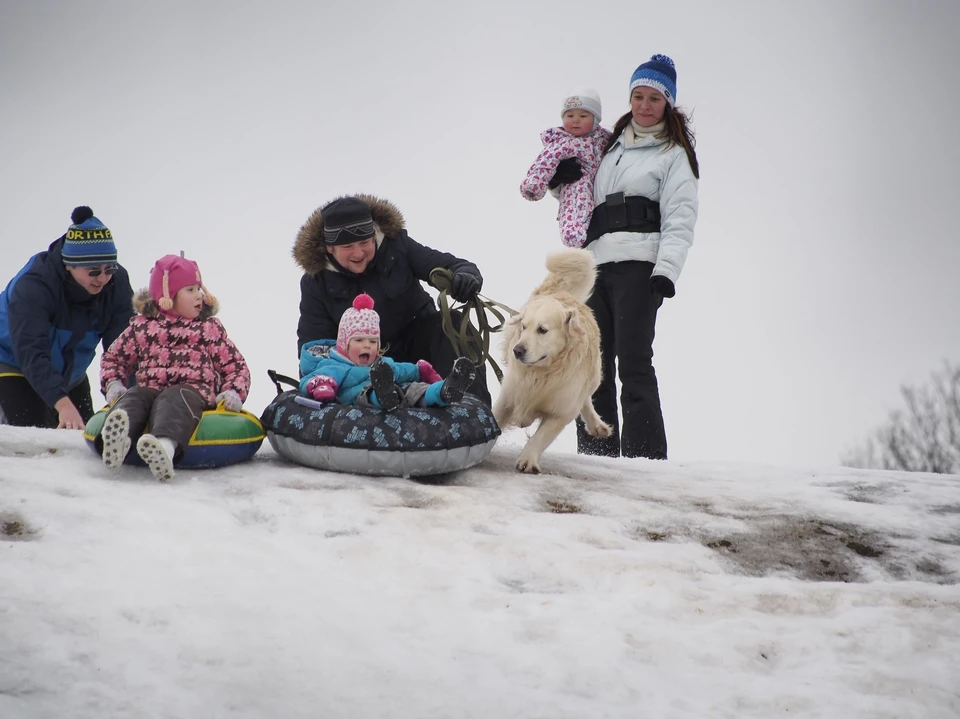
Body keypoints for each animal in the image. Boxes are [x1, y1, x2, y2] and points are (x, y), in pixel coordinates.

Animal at [498, 248, 612, 472]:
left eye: (542, 330)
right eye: (523, 326)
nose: (518, 351)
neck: (541, 373)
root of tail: (562, 293)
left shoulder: (561, 410)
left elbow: (540, 437)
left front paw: (527, 460)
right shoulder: (509, 395)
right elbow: (494, 416)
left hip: (593, 377)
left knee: (586, 398)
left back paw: (597, 425)